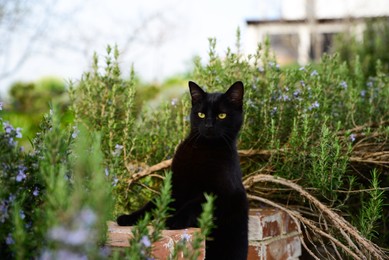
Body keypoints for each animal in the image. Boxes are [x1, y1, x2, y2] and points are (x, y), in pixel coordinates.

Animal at [116, 81, 249, 260]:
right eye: (201, 114)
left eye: (222, 115)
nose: (208, 125)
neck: (204, 149)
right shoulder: (176, 187)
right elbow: (153, 204)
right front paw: (130, 217)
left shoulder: (221, 192)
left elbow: (193, 203)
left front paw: (173, 220)